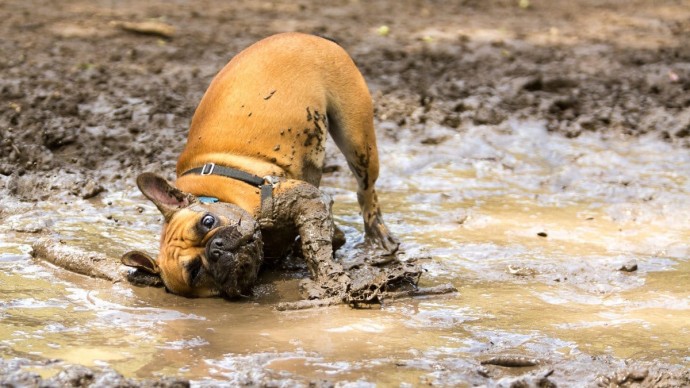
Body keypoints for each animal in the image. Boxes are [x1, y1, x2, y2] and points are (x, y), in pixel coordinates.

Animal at [121, 34, 396, 300]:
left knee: (366, 189)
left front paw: (327, 277)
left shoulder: (303, 199)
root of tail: (308, 36)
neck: (214, 195)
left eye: (208, 222)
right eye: (195, 272)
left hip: (357, 140)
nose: (215, 248)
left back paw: (378, 235)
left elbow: (315, 244)